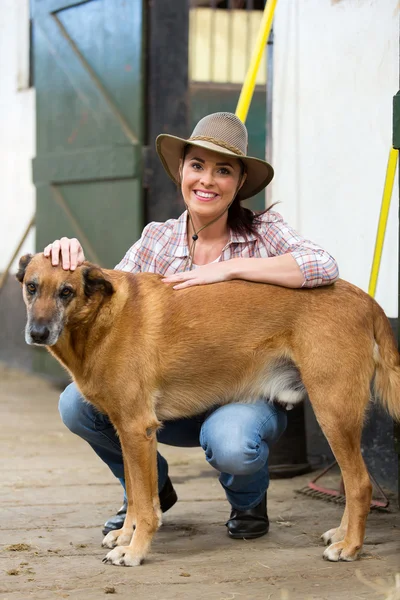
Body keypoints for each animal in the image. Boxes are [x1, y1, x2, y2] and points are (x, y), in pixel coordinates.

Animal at [16, 253, 400, 568]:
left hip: (333, 411)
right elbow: (137, 494)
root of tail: (368, 301)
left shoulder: (136, 428)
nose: (38, 333)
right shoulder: (126, 431)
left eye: (66, 292)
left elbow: (144, 502)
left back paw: (350, 546)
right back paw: (342, 534)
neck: (99, 318)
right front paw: (126, 534)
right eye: (32, 287)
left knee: (359, 484)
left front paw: (135, 550)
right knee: (352, 483)